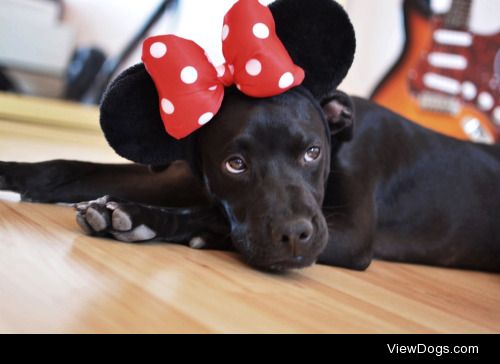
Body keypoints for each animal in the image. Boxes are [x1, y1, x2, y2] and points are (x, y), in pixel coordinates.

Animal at [0, 0, 500, 272]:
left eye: (313, 152)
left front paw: (143, 218)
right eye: (235, 164)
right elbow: (65, 168)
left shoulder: (350, 234)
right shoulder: (182, 175)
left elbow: (211, 215)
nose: (295, 236)